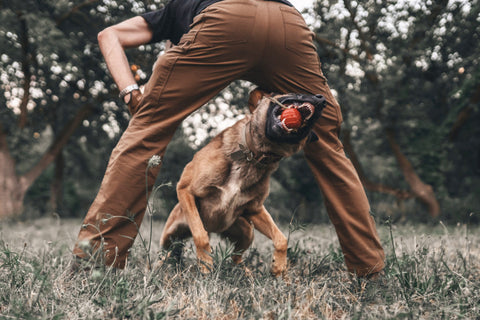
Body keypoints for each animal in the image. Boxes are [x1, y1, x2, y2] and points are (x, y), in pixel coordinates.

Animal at [159, 89, 324, 276]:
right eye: (299, 92)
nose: (323, 99)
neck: (253, 156)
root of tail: (213, 229)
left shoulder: (255, 209)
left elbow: (282, 239)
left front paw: (279, 267)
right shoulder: (186, 190)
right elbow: (200, 236)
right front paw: (206, 264)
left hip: (247, 232)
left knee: (235, 257)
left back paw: (244, 272)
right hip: (169, 236)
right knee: (168, 252)